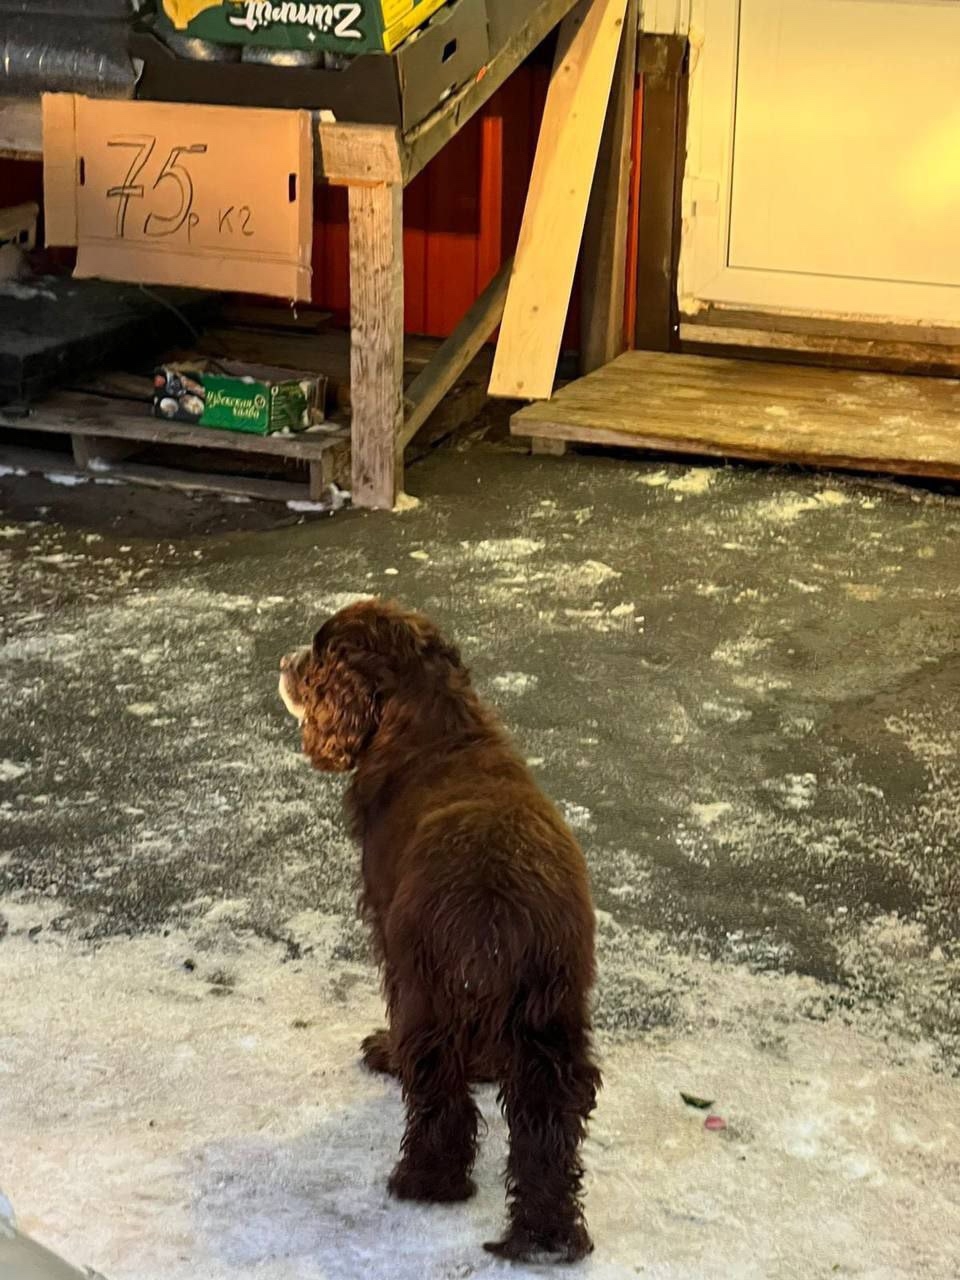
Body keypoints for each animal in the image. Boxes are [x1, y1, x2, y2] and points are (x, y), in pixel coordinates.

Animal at [279, 599, 601, 1263]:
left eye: (320, 653)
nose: (283, 661)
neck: (434, 722)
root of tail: (500, 917)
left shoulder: (388, 932)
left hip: (430, 989)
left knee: (438, 1094)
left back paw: (425, 1181)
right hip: (553, 1015)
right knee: (548, 1125)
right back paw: (549, 1236)